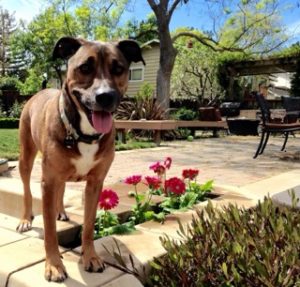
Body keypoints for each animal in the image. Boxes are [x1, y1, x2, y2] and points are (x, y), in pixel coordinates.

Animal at [16, 37, 145, 282]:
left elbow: (88, 226)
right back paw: (25, 219)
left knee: (62, 189)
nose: (105, 96)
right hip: (26, 158)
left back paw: (61, 212)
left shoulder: (95, 183)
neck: (83, 132)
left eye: (118, 68)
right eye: (85, 67)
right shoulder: (48, 181)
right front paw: (54, 265)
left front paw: (91, 257)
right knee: (27, 190)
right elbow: (49, 231)